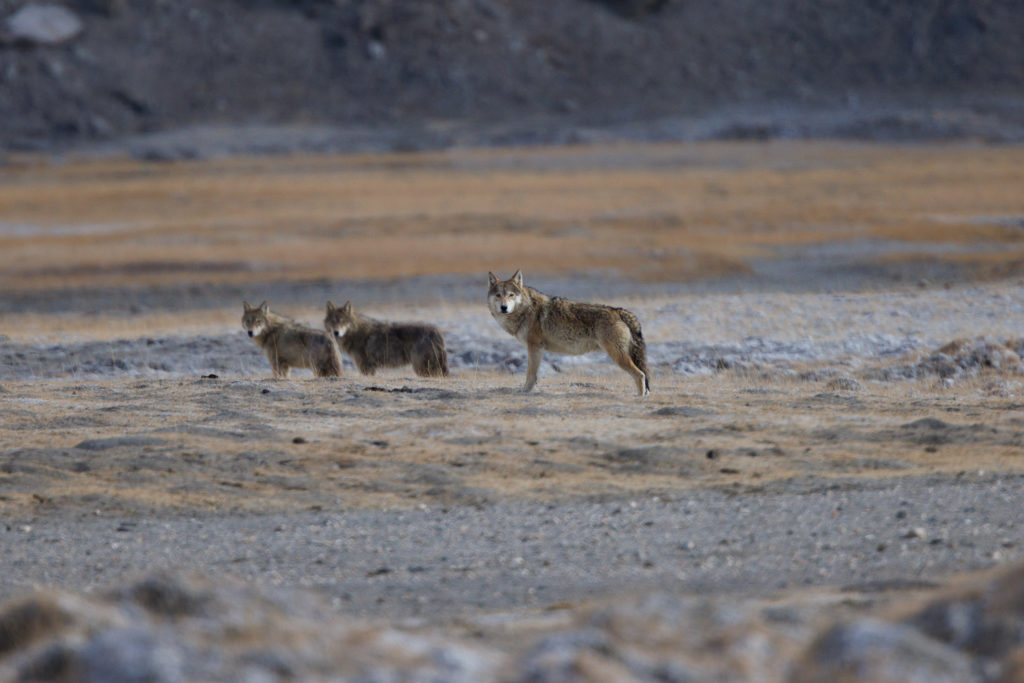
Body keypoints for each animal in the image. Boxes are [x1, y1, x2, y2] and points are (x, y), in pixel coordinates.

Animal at [485, 266, 647, 395]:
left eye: (511, 295)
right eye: (498, 295)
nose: (504, 307)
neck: (526, 309)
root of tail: (619, 311)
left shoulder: (534, 347)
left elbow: (530, 373)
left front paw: (525, 391)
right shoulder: (536, 349)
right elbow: (533, 374)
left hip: (617, 356)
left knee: (640, 375)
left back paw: (640, 398)